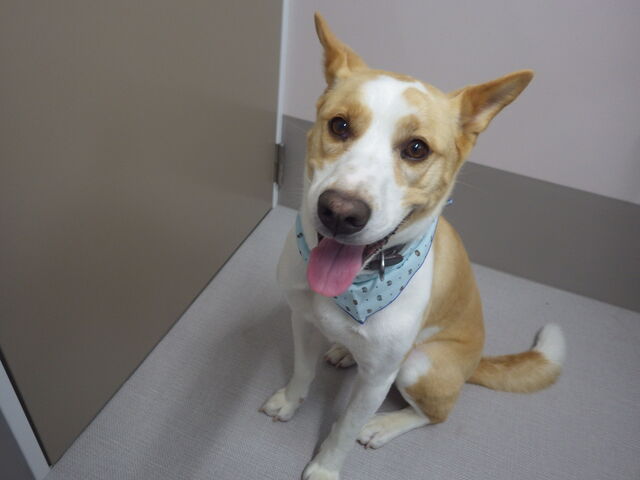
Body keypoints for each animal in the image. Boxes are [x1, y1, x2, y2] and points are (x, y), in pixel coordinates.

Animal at [261, 13, 565, 480]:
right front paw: (290, 401)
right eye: (339, 125)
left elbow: (345, 427)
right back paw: (344, 352)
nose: (340, 212)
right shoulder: (303, 322)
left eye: (416, 148)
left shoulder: (378, 379)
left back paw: (384, 425)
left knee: (435, 414)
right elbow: (302, 371)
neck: (359, 284)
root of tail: (477, 361)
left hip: (417, 366)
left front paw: (327, 467)